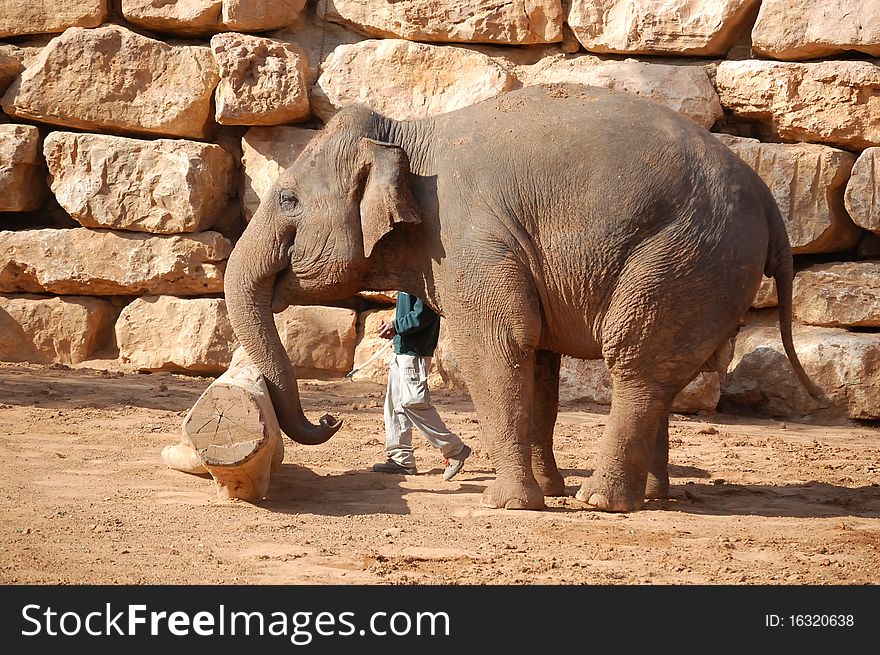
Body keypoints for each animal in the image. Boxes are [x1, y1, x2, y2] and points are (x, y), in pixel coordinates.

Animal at [222, 83, 824, 512]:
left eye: (288, 199)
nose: (331, 420)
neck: (408, 134)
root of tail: (769, 201)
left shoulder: (464, 236)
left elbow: (498, 346)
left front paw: (510, 504)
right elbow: (537, 360)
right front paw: (545, 492)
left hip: (686, 258)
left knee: (636, 365)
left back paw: (601, 503)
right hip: (707, 272)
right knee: (664, 374)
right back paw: (648, 497)